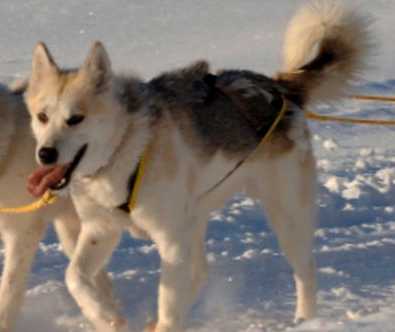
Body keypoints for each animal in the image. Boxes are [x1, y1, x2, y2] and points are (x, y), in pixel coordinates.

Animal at [24, 2, 372, 332]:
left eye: (75, 118)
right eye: (42, 117)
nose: (45, 154)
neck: (127, 149)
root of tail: (280, 90)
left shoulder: (170, 241)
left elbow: (168, 301)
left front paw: (153, 321)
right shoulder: (101, 230)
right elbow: (75, 277)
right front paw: (106, 317)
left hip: (286, 217)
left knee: (304, 271)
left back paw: (305, 320)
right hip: (196, 219)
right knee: (199, 272)